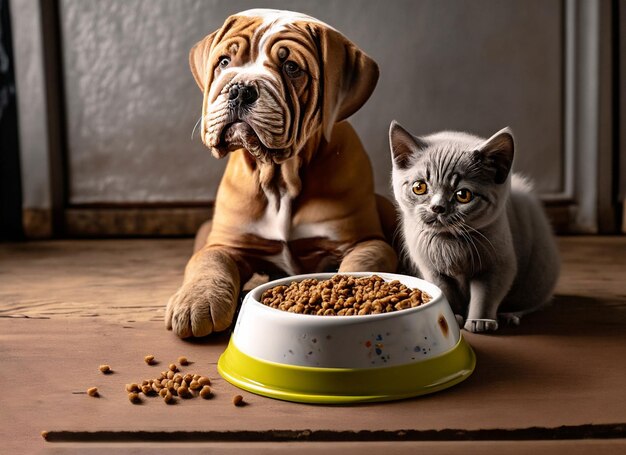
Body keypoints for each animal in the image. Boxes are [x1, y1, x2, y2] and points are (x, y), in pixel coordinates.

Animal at [165, 8, 394, 338]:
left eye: (291, 67)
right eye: (224, 62)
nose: (240, 89)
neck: (280, 178)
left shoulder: (365, 241)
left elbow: (362, 265)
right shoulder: (226, 243)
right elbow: (209, 262)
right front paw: (197, 301)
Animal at [388, 122, 560, 334]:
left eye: (463, 195)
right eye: (419, 187)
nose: (437, 207)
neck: (449, 241)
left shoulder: (498, 266)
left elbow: (486, 295)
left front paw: (481, 321)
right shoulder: (432, 270)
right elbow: (445, 292)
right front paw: (453, 316)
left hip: (538, 273)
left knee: (535, 302)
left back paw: (511, 315)